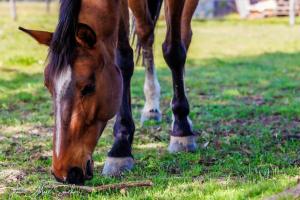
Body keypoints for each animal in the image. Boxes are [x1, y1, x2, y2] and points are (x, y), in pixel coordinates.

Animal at [20, 0, 199, 184]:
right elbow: (123, 60)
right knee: (146, 33)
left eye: (89, 87)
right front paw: (121, 145)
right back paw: (151, 108)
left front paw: (181, 129)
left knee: (184, 35)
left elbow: (174, 51)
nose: (62, 172)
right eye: (48, 86)